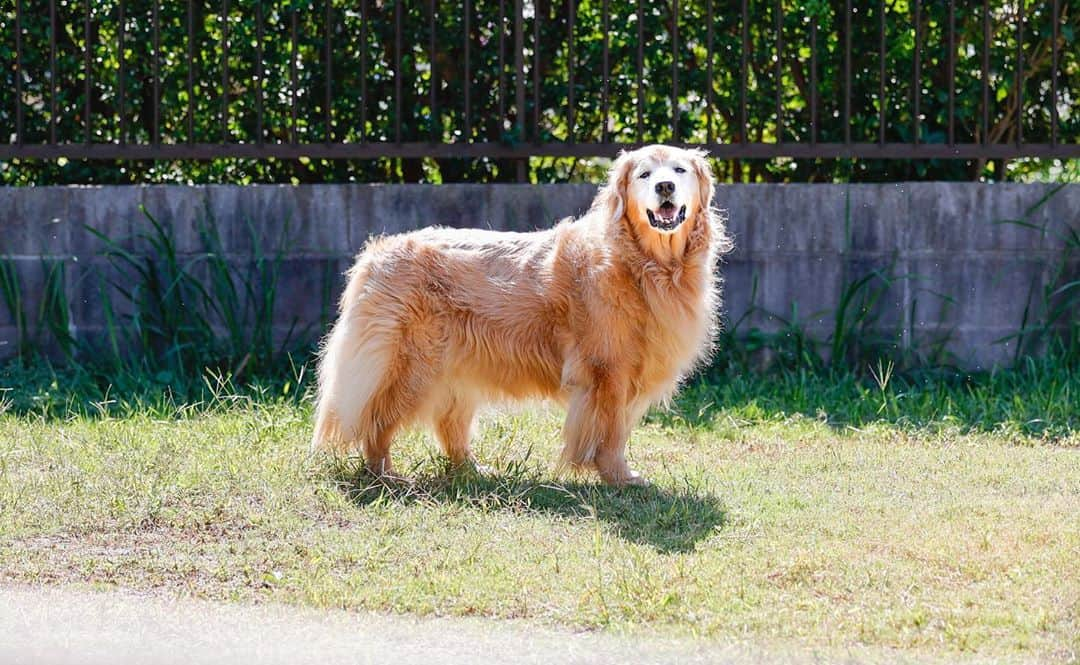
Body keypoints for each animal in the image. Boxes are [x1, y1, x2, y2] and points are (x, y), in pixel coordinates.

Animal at [313, 144, 734, 483]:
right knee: (375, 419)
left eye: (679, 170)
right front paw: (618, 477)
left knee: (450, 425)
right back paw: (385, 473)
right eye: (645, 174)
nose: (665, 187)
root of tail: (376, 252)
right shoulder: (608, 370)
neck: (645, 264)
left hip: (455, 368)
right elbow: (612, 431)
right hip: (411, 366)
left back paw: (472, 469)